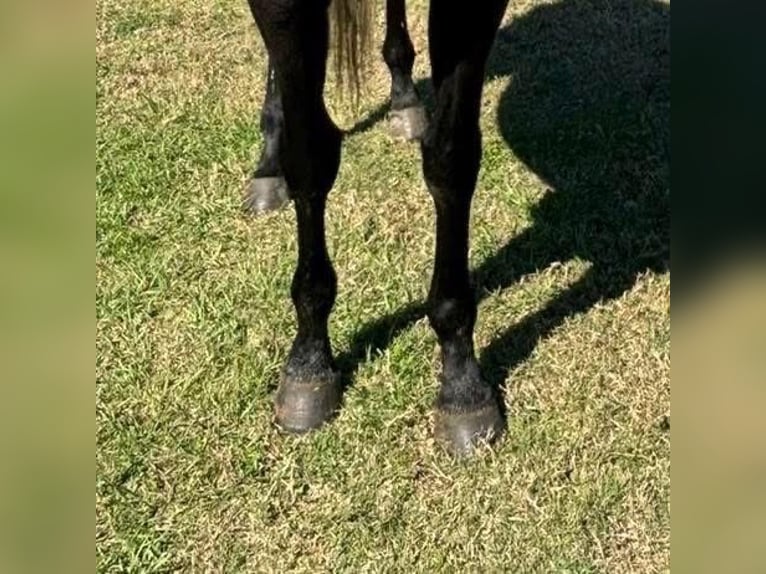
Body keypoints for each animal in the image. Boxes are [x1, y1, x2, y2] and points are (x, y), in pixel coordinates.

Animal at [244, 1, 510, 460]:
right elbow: (310, 155)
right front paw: (309, 361)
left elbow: (450, 159)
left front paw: (462, 385)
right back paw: (268, 167)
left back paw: (404, 99)